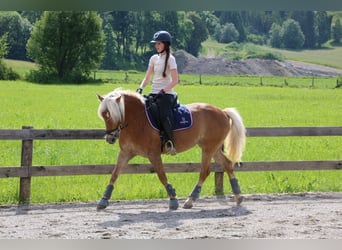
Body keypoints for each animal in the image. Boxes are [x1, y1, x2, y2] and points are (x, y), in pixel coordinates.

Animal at [96, 89, 246, 210]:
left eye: (111, 115)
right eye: (103, 115)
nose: (110, 138)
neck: (136, 119)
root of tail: (223, 112)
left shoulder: (154, 154)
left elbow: (162, 175)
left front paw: (173, 200)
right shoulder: (126, 153)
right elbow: (114, 174)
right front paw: (103, 200)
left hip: (208, 148)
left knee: (205, 171)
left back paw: (190, 200)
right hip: (213, 148)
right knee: (227, 164)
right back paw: (238, 196)